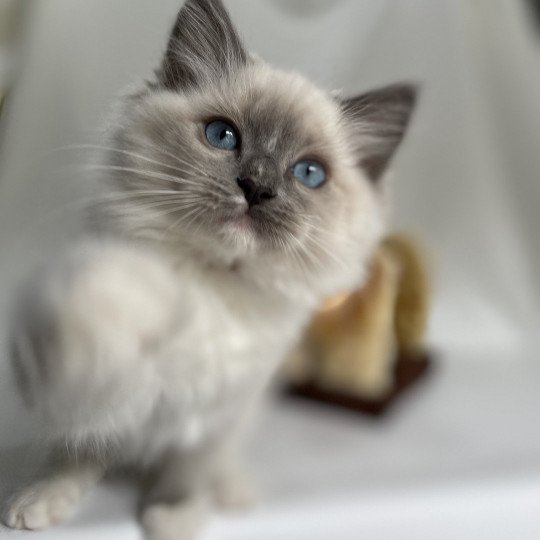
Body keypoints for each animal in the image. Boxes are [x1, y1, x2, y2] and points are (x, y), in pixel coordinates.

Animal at [2, 1, 416, 540]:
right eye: (223, 136)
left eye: (308, 174)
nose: (256, 188)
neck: (212, 286)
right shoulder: (104, 396)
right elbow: (78, 444)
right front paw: (45, 500)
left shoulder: (221, 413)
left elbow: (188, 469)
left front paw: (173, 519)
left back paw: (233, 491)